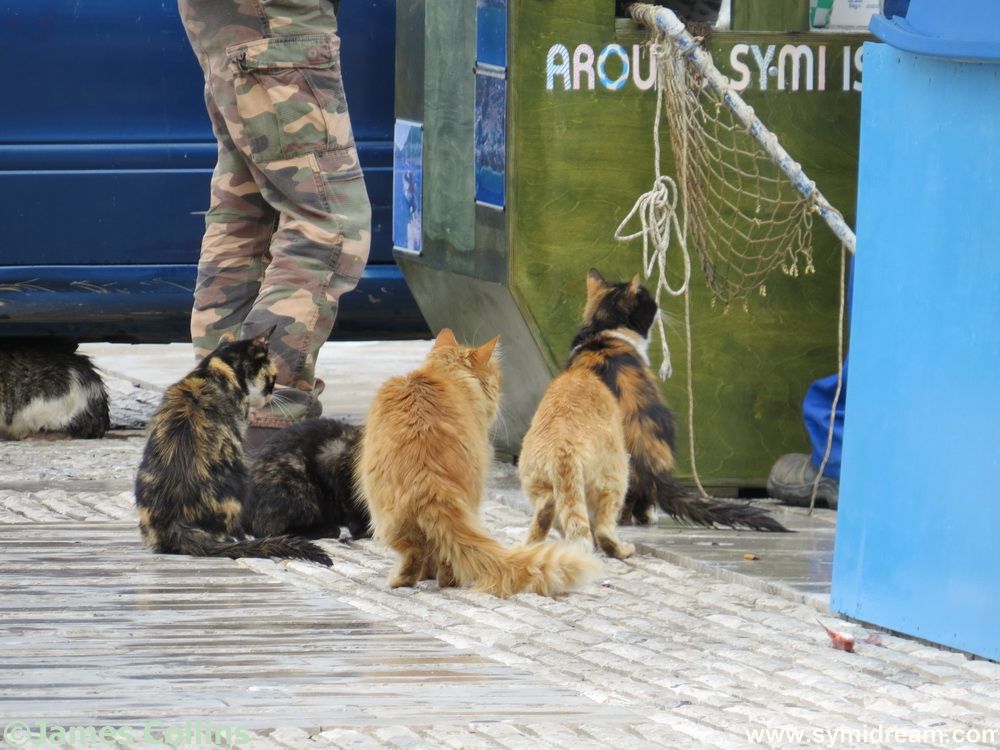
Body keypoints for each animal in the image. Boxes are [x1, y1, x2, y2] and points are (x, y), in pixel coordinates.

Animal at [357, 328, 600, 597]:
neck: (444, 376)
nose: (499, 391)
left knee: (422, 554)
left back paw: (408, 579)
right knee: (431, 555)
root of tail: (430, 481)